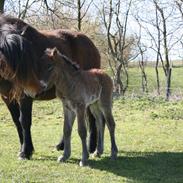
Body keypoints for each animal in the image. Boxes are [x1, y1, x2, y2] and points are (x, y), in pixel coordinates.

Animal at [0, 15, 100, 159]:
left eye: (29, 59)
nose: (35, 90)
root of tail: (91, 44)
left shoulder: (24, 97)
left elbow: (24, 121)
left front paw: (26, 151)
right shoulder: (7, 97)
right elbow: (16, 121)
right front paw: (23, 148)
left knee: (90, 117)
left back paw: (91, 147)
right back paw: (62, 145)